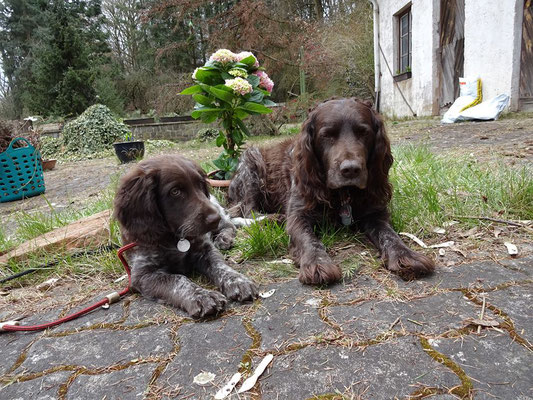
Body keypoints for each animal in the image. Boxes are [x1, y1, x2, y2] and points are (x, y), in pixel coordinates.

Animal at [114, 155, 258, 318]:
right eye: (175, 191)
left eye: (200, 185)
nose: (214, 218)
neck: (174, 237)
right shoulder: (142, 275)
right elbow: (176, 280)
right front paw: (202, 296)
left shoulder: (205, 249)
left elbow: (220, 265)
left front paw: (238, 281)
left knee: (229, 224)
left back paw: (224, 238)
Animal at [228, 97, 432, 284]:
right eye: (327, 135)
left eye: (363, 132)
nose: (351, 169)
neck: (342, 194)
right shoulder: (298, 214)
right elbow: (308, 239)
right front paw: (317, 263)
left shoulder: (375, 213)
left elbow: (389, 234)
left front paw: (405, 254)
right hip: (251, 161)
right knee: (248, 211)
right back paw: (271, 219)